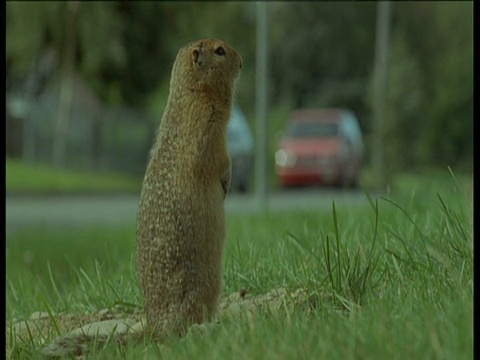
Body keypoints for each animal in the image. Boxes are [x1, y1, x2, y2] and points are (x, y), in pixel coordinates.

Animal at [137, 38, 244, 338]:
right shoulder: (206, 125)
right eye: (220, 51)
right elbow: (217, 159)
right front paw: (226, 181)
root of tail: (157, 328)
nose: (242, 62)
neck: (192, 91)